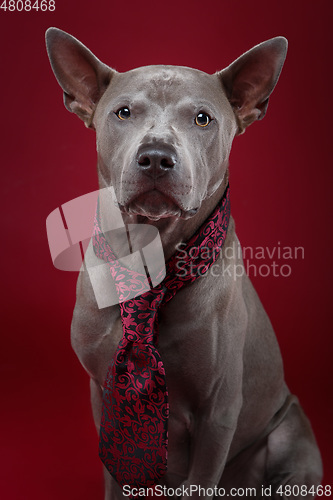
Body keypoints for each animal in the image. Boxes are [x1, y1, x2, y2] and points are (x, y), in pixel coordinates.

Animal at [45, 28, 320, 500]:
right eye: (123, 112)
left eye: (203, 119)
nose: (156, 156)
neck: (148, 262)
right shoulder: (104, 397)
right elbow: (117, 475)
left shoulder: (217, 413)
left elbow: (202, 476)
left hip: (289, 434)